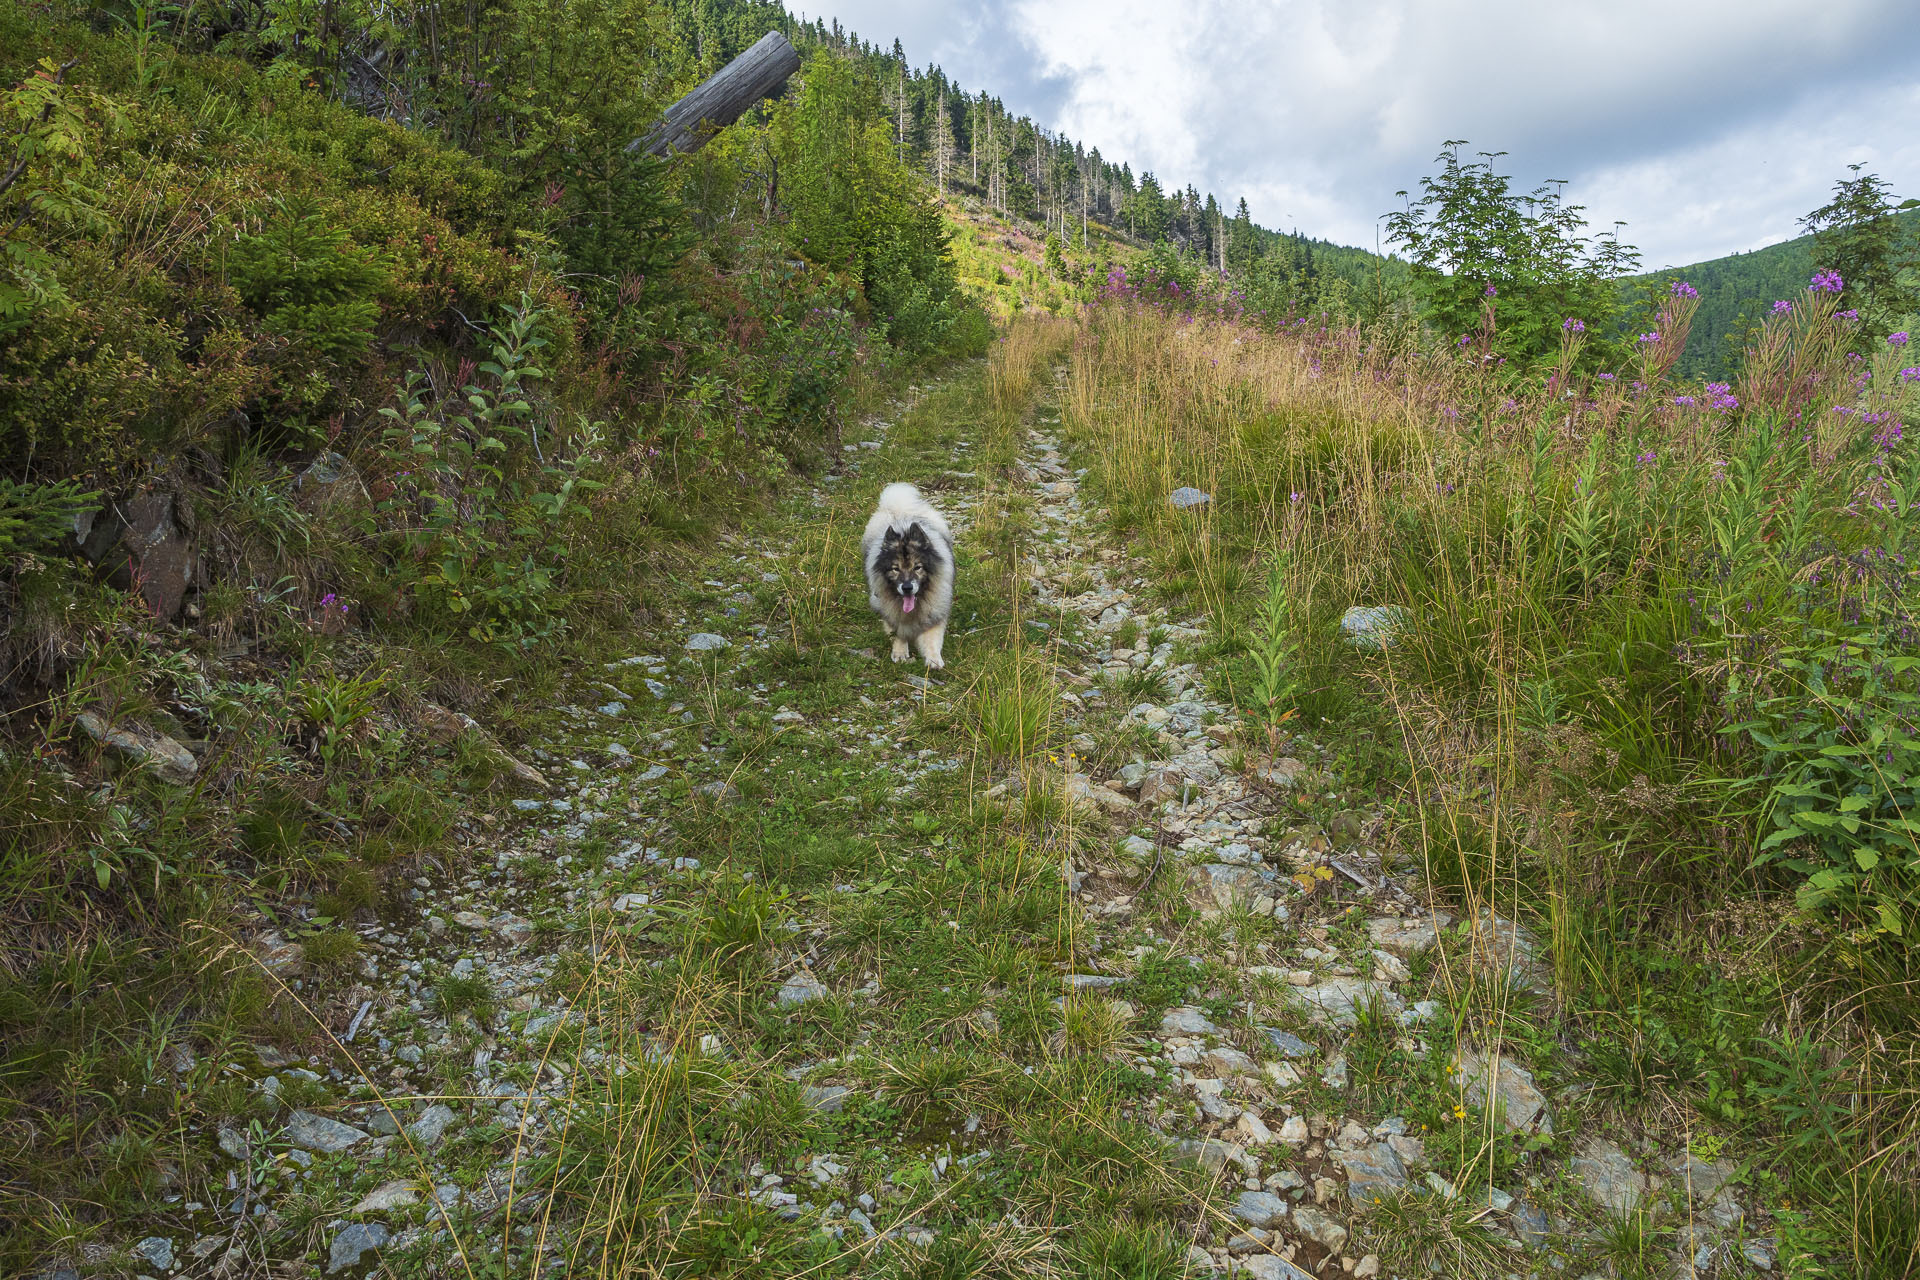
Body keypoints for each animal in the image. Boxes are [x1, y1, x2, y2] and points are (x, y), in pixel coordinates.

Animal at [864, 479, 952, 671]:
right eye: (895, 569)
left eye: (917, 567)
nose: (907, 587)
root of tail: (901, 510)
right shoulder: (889, 610)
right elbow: (898, 631)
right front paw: (900, 652)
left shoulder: (935, 610)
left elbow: (932, 638)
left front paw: (934, 659)